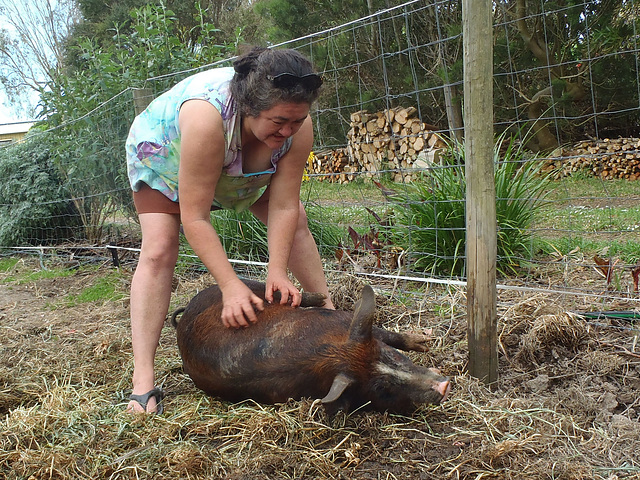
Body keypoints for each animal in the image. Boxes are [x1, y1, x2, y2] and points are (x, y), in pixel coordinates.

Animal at [170, 280, 450, 414]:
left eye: (391, 355)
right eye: (382, 389)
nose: (444, 386)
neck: (324, 353)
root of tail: (185, 314)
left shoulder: (344, 320)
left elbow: (385, 333)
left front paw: (426, 343)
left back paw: (319, 297)